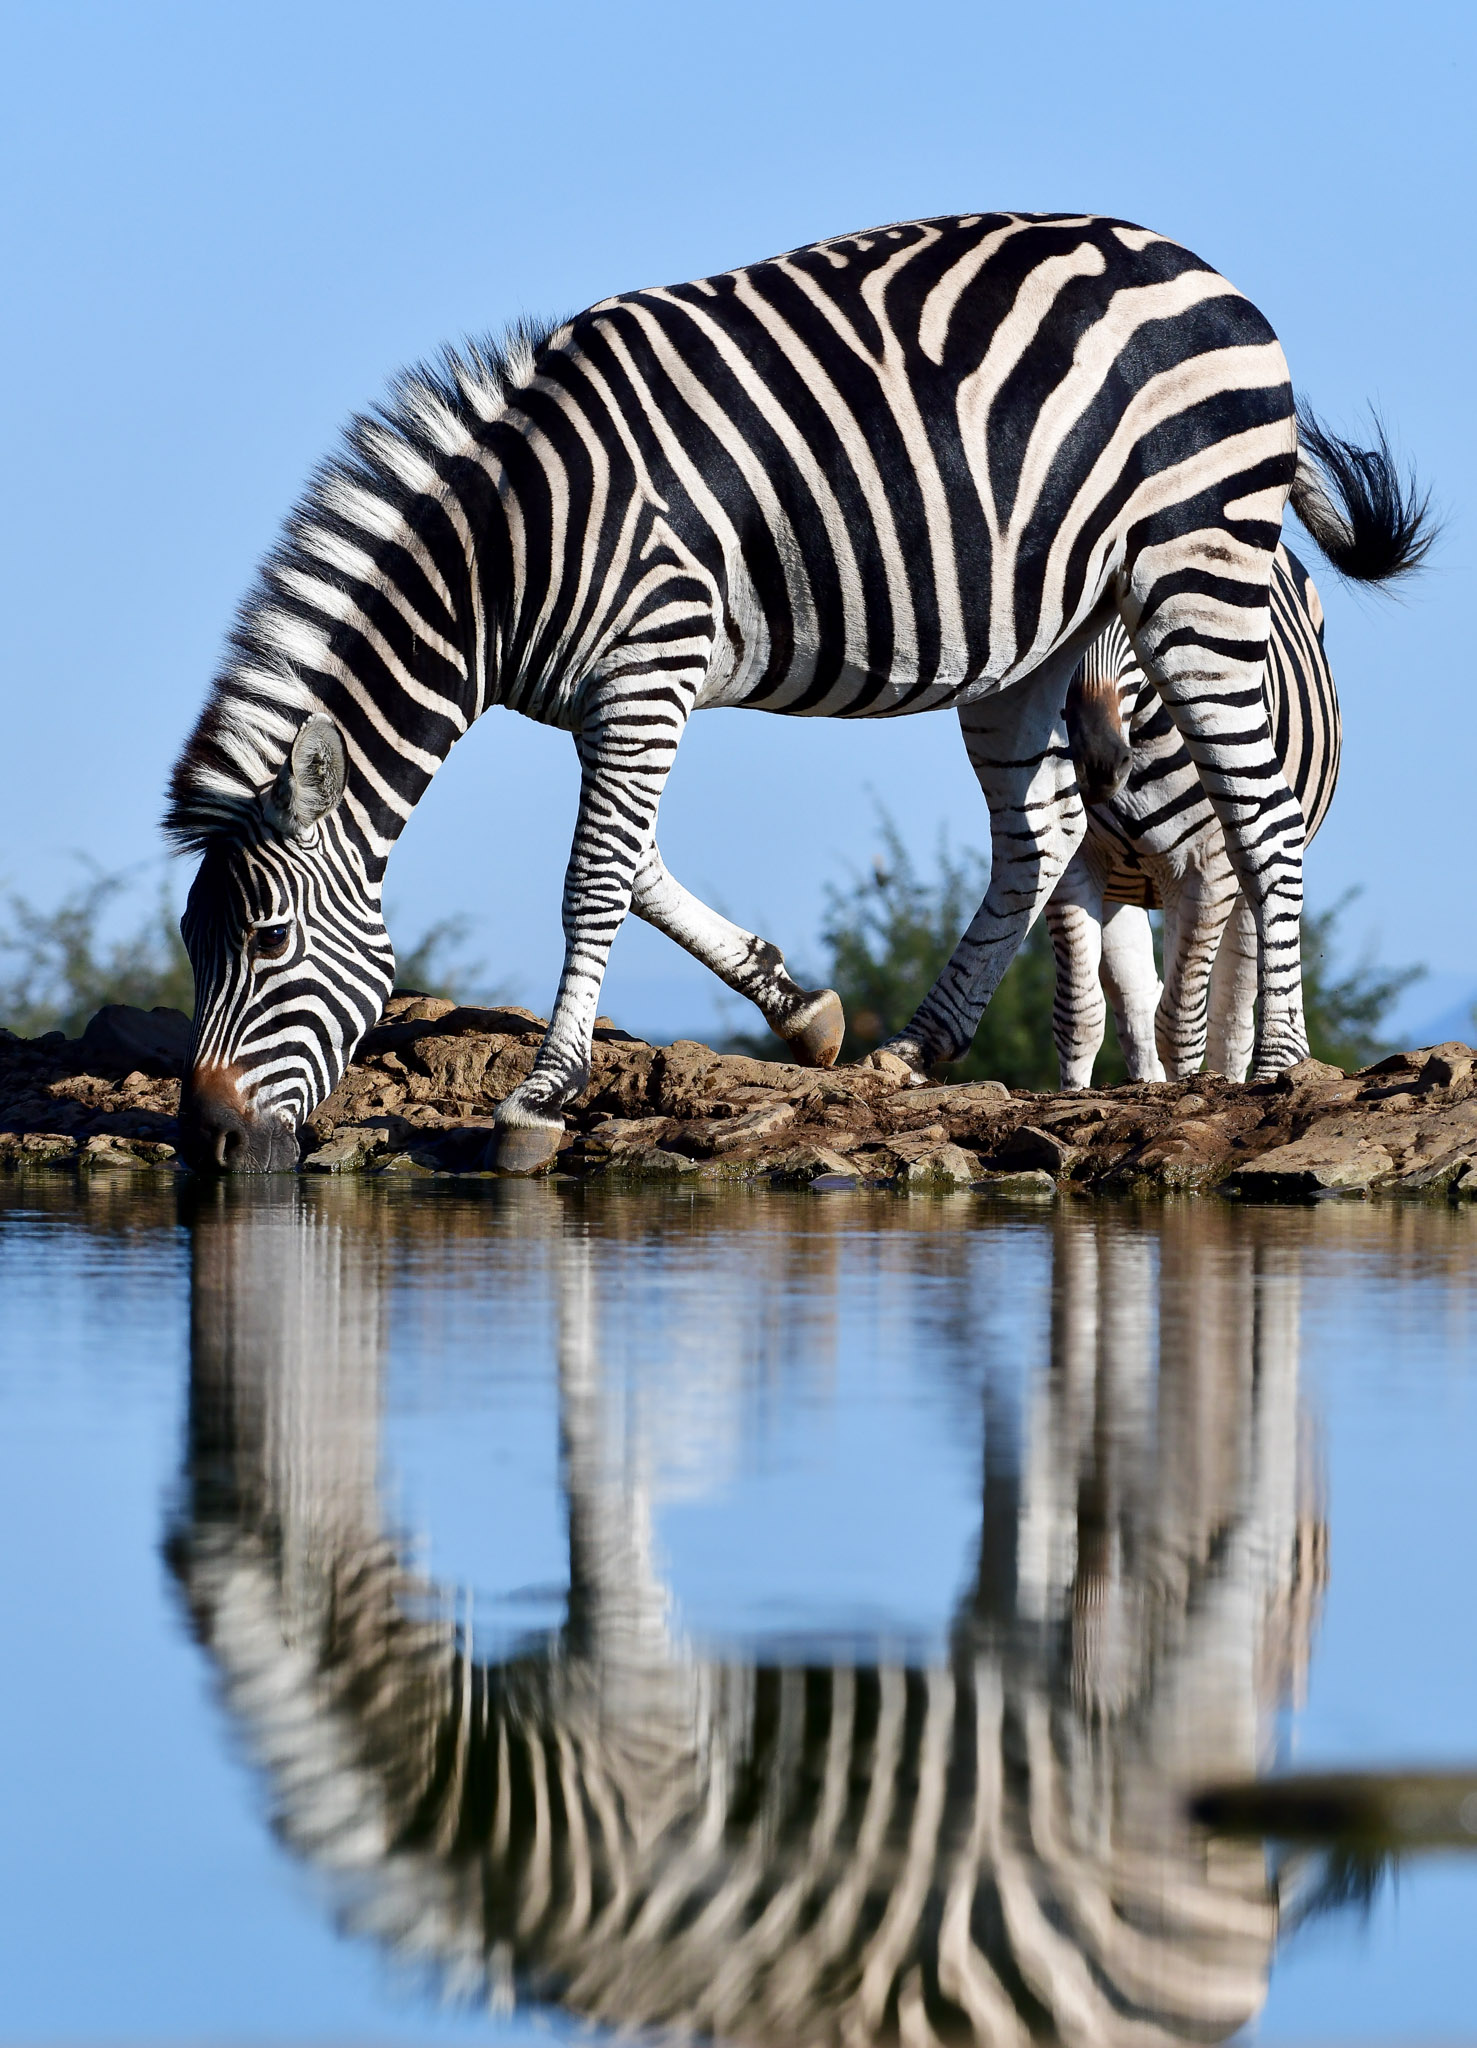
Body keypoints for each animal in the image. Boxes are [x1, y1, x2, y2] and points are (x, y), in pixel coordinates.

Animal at [170, 1182, 1324, 2045]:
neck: (478, 1809)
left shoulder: (629, 1691)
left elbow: (595, 1466)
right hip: (1027, 1677)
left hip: (1173, 1744)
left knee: (1240, 1551)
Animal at [1049, 543, 1340, 1088]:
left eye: (1135, 621)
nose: (1093, 761)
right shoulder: (1071, 860)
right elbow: (1081, 1016)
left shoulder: (1209, 868)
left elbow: (1182, 1019)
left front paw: (1186, 1091)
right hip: (1125, 886)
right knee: (1135, 1006)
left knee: (1230, 1012)